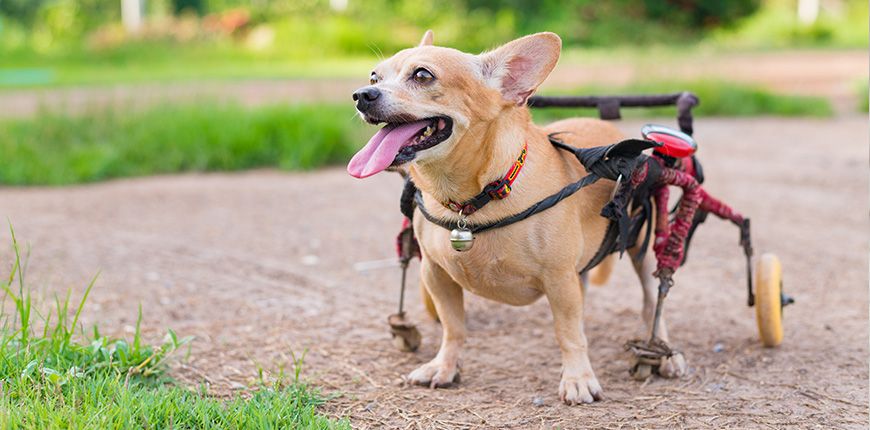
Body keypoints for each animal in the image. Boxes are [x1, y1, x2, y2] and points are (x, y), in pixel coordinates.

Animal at [348, 31, 688, 404]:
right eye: (374, 77)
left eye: (423, 75)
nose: (362, 95)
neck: (473, 199)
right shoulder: (436, 274)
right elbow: (453, 328)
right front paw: (445, 366)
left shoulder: (559, 279)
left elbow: (568, 333)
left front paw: (578, 378)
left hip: (643, 249)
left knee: (653, 300)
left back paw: (664, 351)